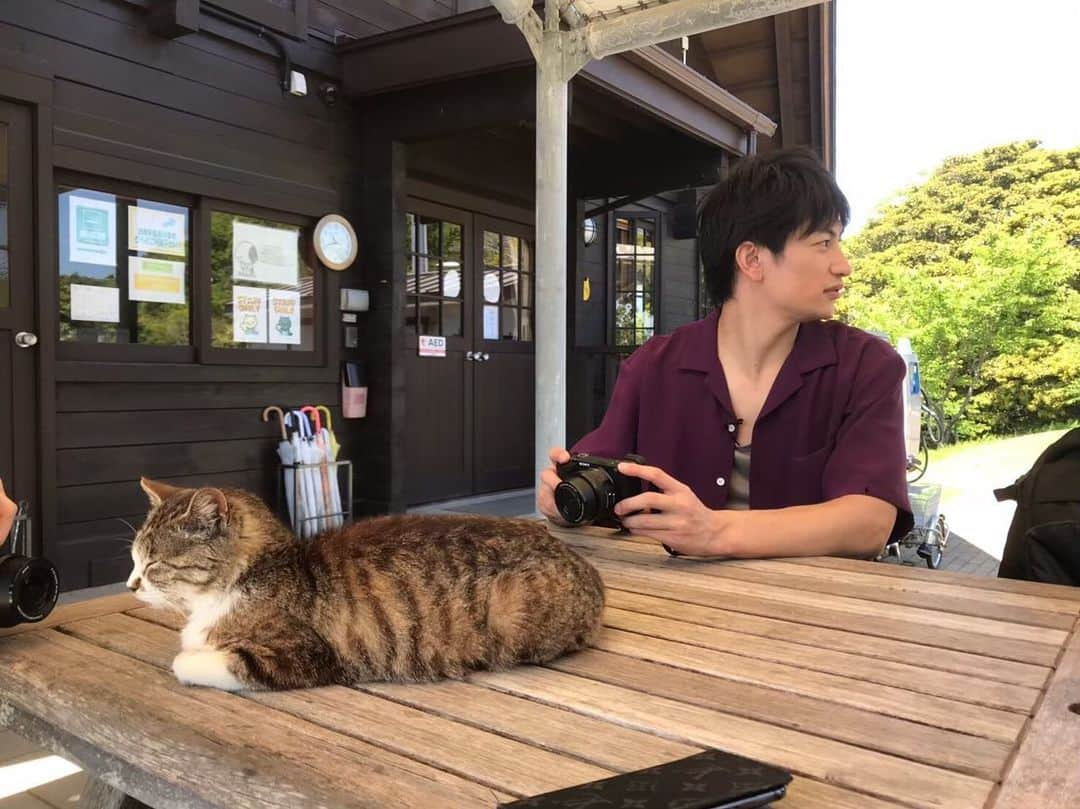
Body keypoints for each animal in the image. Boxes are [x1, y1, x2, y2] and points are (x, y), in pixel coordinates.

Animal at [126, 477, 604, 691]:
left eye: (154, 564)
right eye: (133, 559)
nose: (131, 585)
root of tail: (587, 570)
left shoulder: (303, 655)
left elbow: (198, 660)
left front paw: (188, 657)